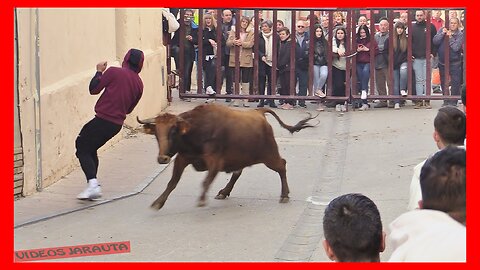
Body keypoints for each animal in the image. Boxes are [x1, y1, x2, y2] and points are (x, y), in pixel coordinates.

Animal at [136, 104, 316, 210]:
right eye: (156, 133)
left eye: (173, 131)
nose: (162, 159)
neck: (195, 130)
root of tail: (258, 112)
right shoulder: (182, 158)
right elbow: (172, 182)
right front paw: (158, 202)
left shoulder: (215, 161)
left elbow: (206, 181)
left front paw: (202, 199)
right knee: (238, 172)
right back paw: (224, 192)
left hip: (269, 155)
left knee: (281, 165)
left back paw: (284, 194)